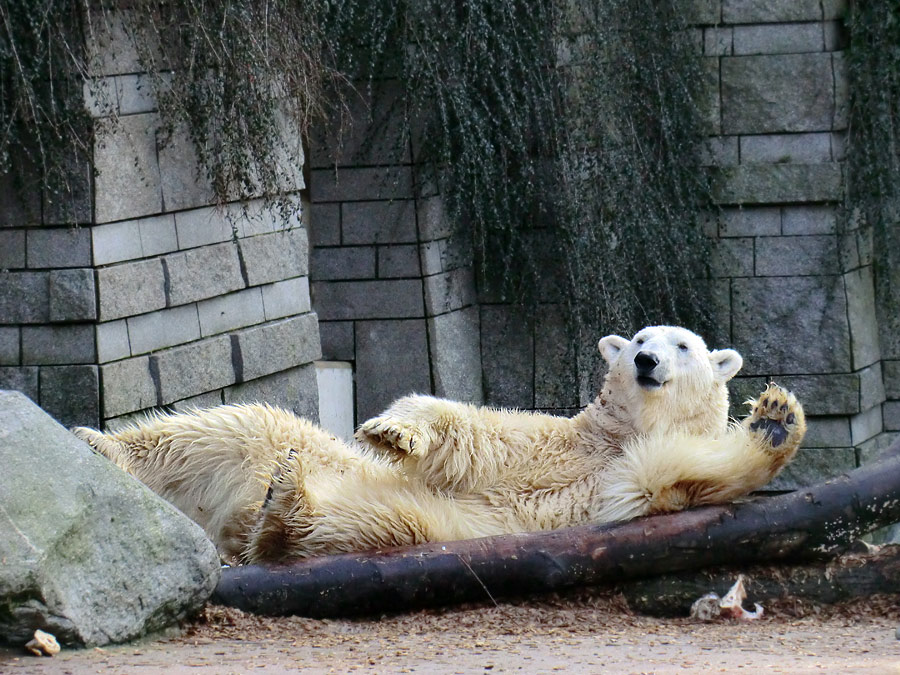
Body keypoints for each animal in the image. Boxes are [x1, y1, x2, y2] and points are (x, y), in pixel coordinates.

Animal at [74, 324, 808, 564]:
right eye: (636, 339)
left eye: (682, 344)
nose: (648, 361)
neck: (621, 433)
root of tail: (220, 525)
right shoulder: (558, 438)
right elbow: (473, 426)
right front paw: (392, 429)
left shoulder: (614, 483)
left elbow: (671, 479)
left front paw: (775, 418)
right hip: (280, 445)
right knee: (232, 426)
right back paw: (97, 445)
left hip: (420, 521)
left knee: (361, 522)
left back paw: (281, 510)